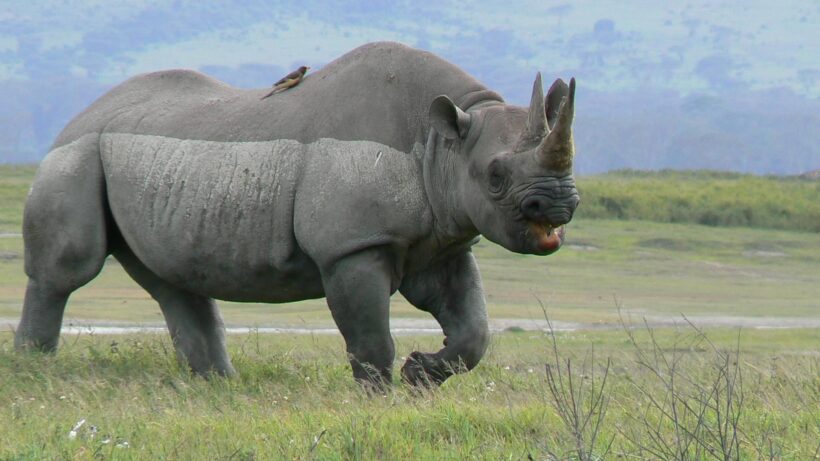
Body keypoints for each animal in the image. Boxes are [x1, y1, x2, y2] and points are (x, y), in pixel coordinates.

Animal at [16, 42, 580, 384]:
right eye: (496, 176)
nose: (558, 204)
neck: (445, 141)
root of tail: (78, 115)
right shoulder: (351, 246)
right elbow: (370, 338)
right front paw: (380, 400)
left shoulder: (442, 238)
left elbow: (474, 330)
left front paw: (421, 374)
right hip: (77, 154)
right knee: (69, 269)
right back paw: (33, 370)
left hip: (139, 160)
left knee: (173, 282)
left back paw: (217, 387)